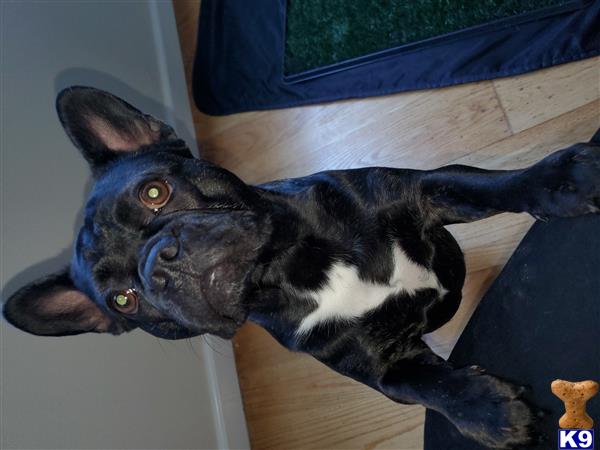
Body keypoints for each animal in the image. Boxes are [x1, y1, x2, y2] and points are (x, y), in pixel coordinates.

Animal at [4, 86, 600, 448]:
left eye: (155, 192)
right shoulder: (382, 368)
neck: (291, 264)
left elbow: (491, 185)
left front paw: (560, 181)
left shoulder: (420, 193)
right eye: (124, 301)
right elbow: (427, 386)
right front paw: (486, 411)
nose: (158, 268)